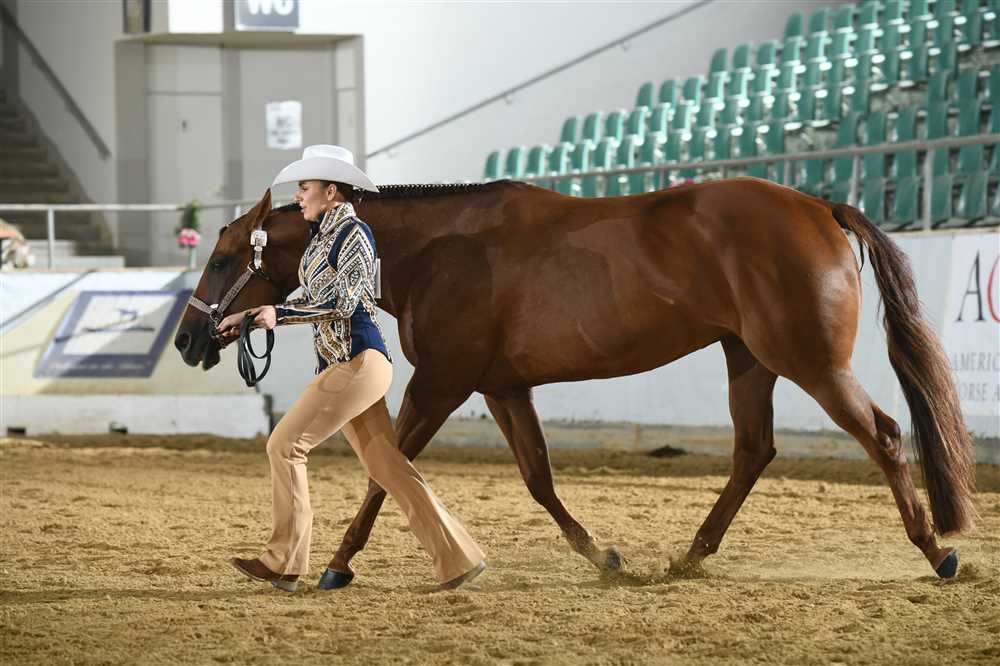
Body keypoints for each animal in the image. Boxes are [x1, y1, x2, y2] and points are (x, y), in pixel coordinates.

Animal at [174, 177, 975, 583]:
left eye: (221, 258)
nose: (185, 340)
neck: (436, 250)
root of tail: (818, 207)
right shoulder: (501, 387)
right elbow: (538, 478)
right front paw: (605, 557)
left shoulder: (442, 382)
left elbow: (387, 469)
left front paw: (337, 565)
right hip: (748, 358)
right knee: (754, 451)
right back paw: (687, 557)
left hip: (810, 363)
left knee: (883, 435)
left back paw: (938, 552)